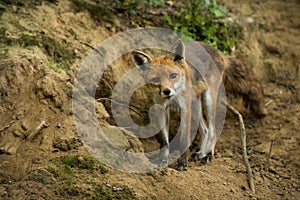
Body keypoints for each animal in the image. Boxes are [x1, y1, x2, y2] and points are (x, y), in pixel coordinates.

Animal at [132, 39, 266, 170]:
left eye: (173, 76)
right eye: (155, 80)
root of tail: (217, 52)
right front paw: (163, 161)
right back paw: (201, 153)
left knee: (212, 130)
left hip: (208, 100)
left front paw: (182, 164)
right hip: (196, 104)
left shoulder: (185, 108)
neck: (174, 97)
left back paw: (208, 155)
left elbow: (184, 139)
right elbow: (165, 141)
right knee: (205, 130)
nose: (167, 91)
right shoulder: (162, 109)